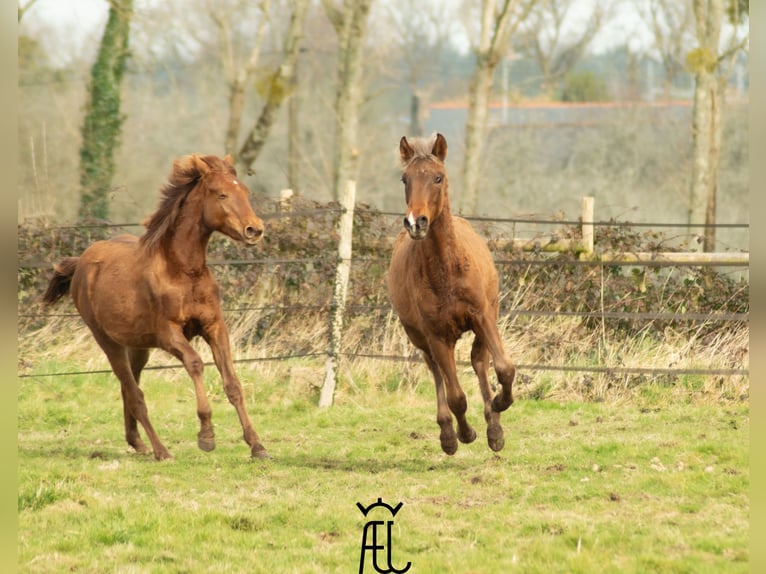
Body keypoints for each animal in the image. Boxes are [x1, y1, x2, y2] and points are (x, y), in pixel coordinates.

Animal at [43, 155, 270, 462]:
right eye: (221, 194)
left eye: (245, 191)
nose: (254, 229)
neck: (184, 271)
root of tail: (81, 263)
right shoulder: (169, 334)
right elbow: (196, 364)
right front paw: (206, 436)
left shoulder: (214, 327)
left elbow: (233, 383)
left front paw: (257, 445)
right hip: (108, 342)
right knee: (134, 393)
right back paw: (161, 450)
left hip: (138, 347)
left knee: (129, 388)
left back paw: (137, 442)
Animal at [390, 133, 516, 456]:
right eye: (404, 179)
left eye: (438, 177)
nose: (415, 222)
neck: (446, 272)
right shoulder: (436, 336)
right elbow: (456, 396)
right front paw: (464, 434)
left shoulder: (483, 317)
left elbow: (504, 368)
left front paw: (500, 405)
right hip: (419, 338)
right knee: (436, 372)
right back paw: (449, 434)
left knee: (479, 362)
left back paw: (494, 426)